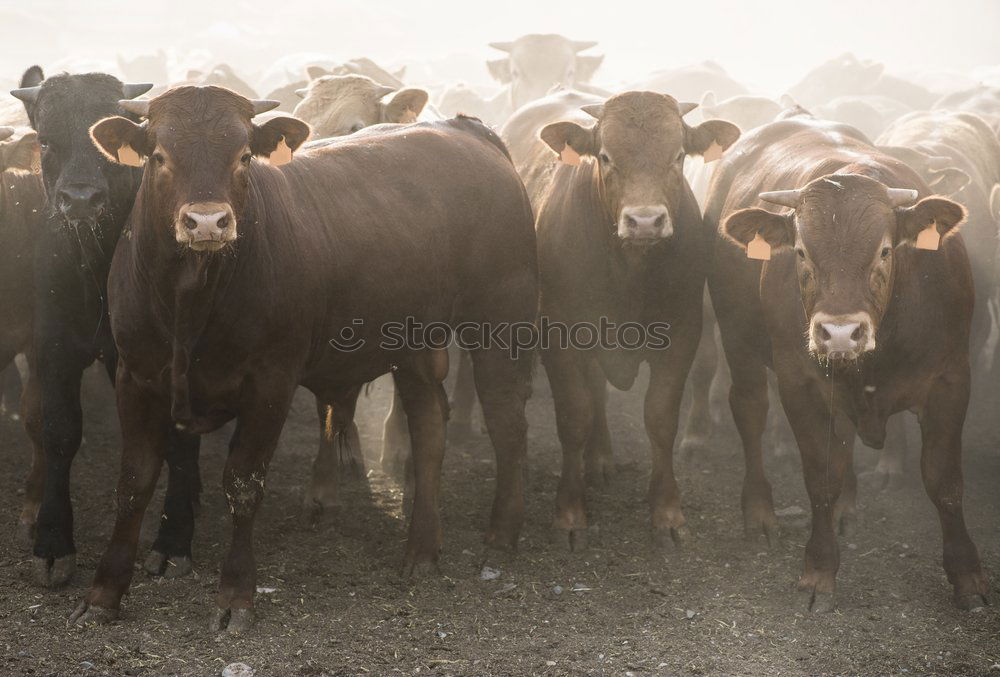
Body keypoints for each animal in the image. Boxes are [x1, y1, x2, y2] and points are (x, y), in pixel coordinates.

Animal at [72, 87, 540, 632]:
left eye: (243, 156)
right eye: (160, 156)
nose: (207, 221)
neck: (190, 299)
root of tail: (467, 130)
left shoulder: (270, 383)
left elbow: (243, 483)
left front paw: (236, 595)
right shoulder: (136, 375)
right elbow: (134, 481)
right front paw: (103, 593)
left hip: (501, 322)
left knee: (506, 422)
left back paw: (501, 535)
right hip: (416, 344)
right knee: (428, 430)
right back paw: (422, 550)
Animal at [536, 91, 740, 544]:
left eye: (678, 155)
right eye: (605, 157)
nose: (645, 221)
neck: (628, 269)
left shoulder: (683, 332)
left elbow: (660, 417)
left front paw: (667, 511)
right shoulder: (558, 333)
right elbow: (573, 415)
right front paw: (569, 511)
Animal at [712, 116, 984, 612]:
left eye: (885, 250)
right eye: (801, 251)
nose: (839, 333)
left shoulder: (952, 379)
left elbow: (944, 480)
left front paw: (966, 575)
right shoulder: (799, 385)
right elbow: (821, 477)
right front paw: (819, 570)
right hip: (736, 337)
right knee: (750, 411)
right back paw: (759, 512)